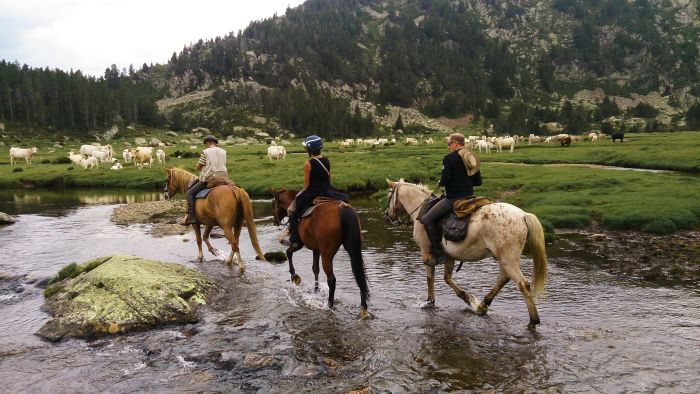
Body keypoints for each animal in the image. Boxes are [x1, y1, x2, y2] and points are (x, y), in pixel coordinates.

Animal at [382, 180, 548, 328]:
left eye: (389, 195)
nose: (387, 216)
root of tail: (523, 215)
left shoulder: (426, 252)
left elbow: (430, 278)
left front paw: (430, 301)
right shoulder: (450, 256)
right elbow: (447, 278)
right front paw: (468, 299)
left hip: (508, 259)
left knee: (523, 284)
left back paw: (533, 320)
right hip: (505, 259)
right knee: (503, 279)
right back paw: (482, 306)